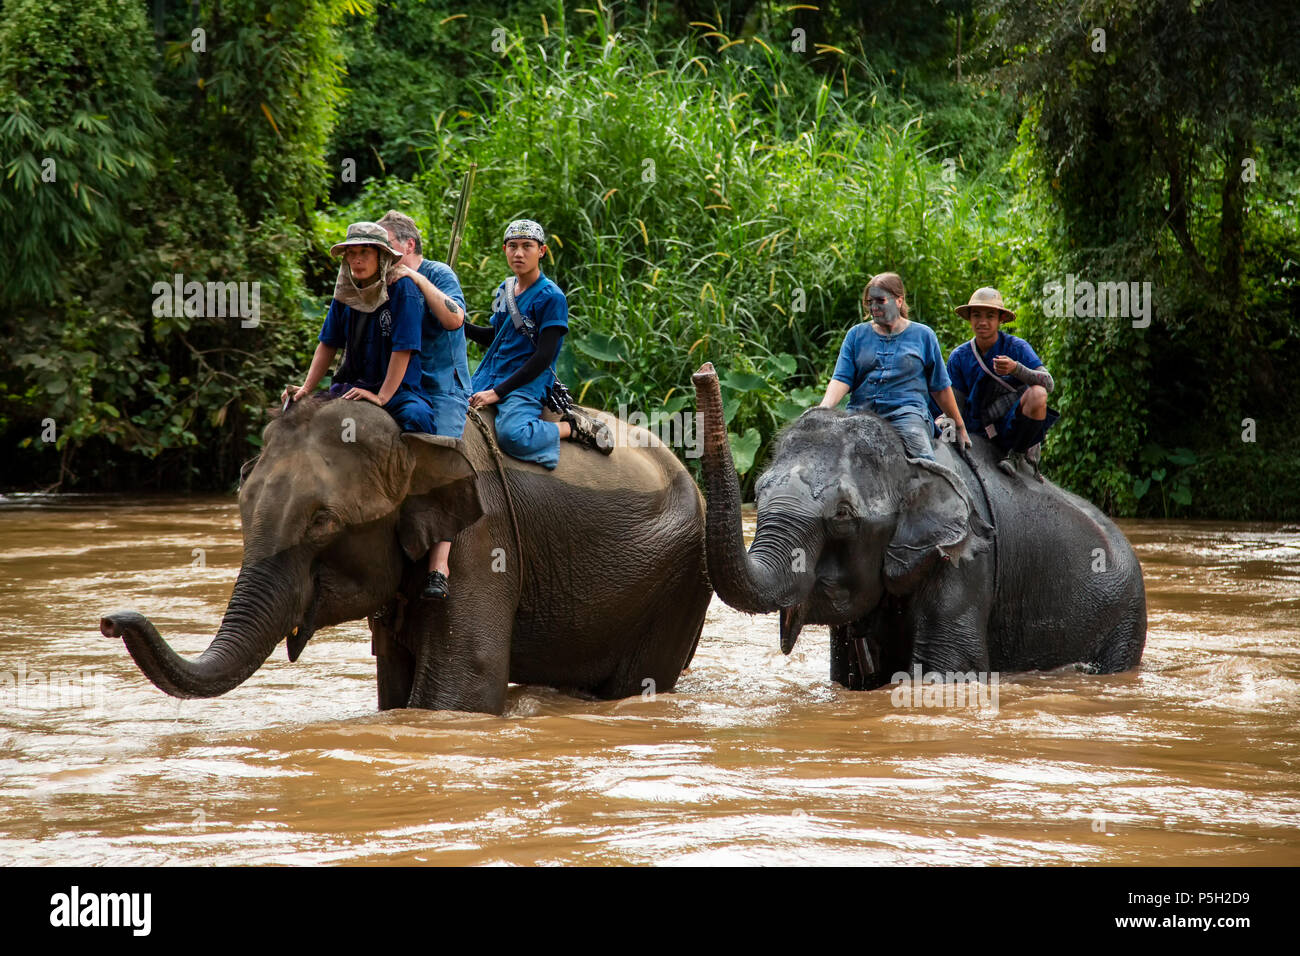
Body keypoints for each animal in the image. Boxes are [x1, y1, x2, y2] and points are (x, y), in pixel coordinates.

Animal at [101, 392, 712, 712]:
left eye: (323, 523)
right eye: (242, 501)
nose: (110, 620)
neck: (411, 438)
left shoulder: (482, 539)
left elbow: (461, 691)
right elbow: (394, 687)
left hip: (680, 582)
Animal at [696, 361, 1144, 686]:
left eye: (842, 516)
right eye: (760, 491)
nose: (704, 371)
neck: (907, 459)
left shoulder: (965, 560)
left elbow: (948, 668)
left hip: (1124, 622)